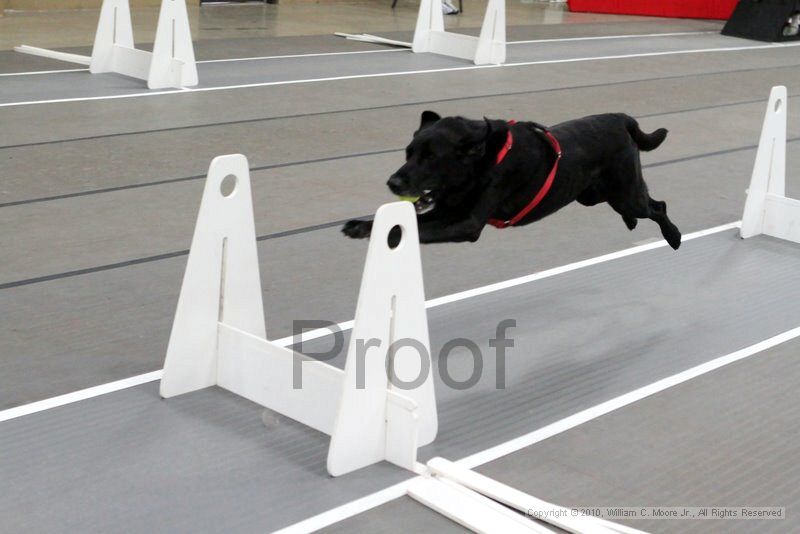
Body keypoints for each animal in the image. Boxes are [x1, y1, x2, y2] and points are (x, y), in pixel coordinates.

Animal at [344, 112, 680, 250]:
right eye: (409, 153)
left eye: (430, 157)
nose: (393, 182)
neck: (483, 160)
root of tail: (621, 118)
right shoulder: (450, 209)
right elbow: (415, 221)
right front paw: (360, 226)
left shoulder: (466, 221)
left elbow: (420, 229)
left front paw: (381, 234)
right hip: (594, 194)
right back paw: (631, 223)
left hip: (625, 191)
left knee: (658, 206)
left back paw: (674, 236)